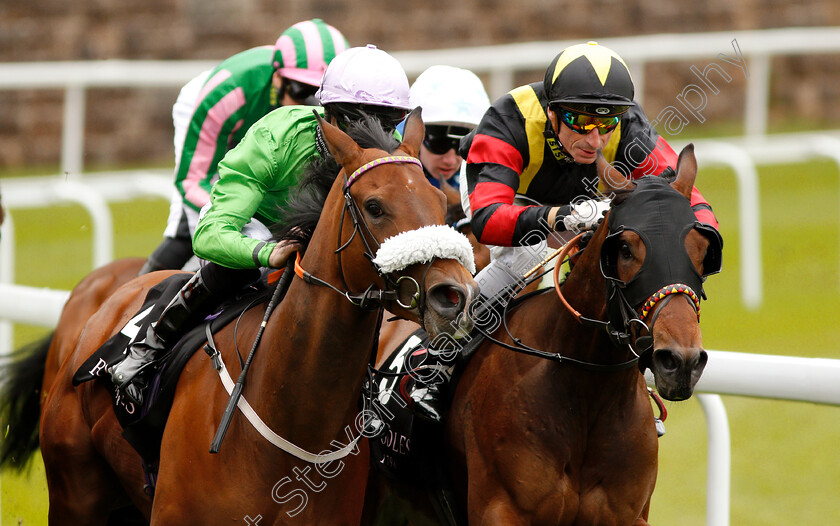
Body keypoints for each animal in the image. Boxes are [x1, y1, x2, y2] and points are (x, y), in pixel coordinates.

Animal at [366, 142, 720, 524]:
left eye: (703, 250)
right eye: (625, 249)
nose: (680, 362)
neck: (587, 395)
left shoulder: (628, 514)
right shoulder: (501, 508)